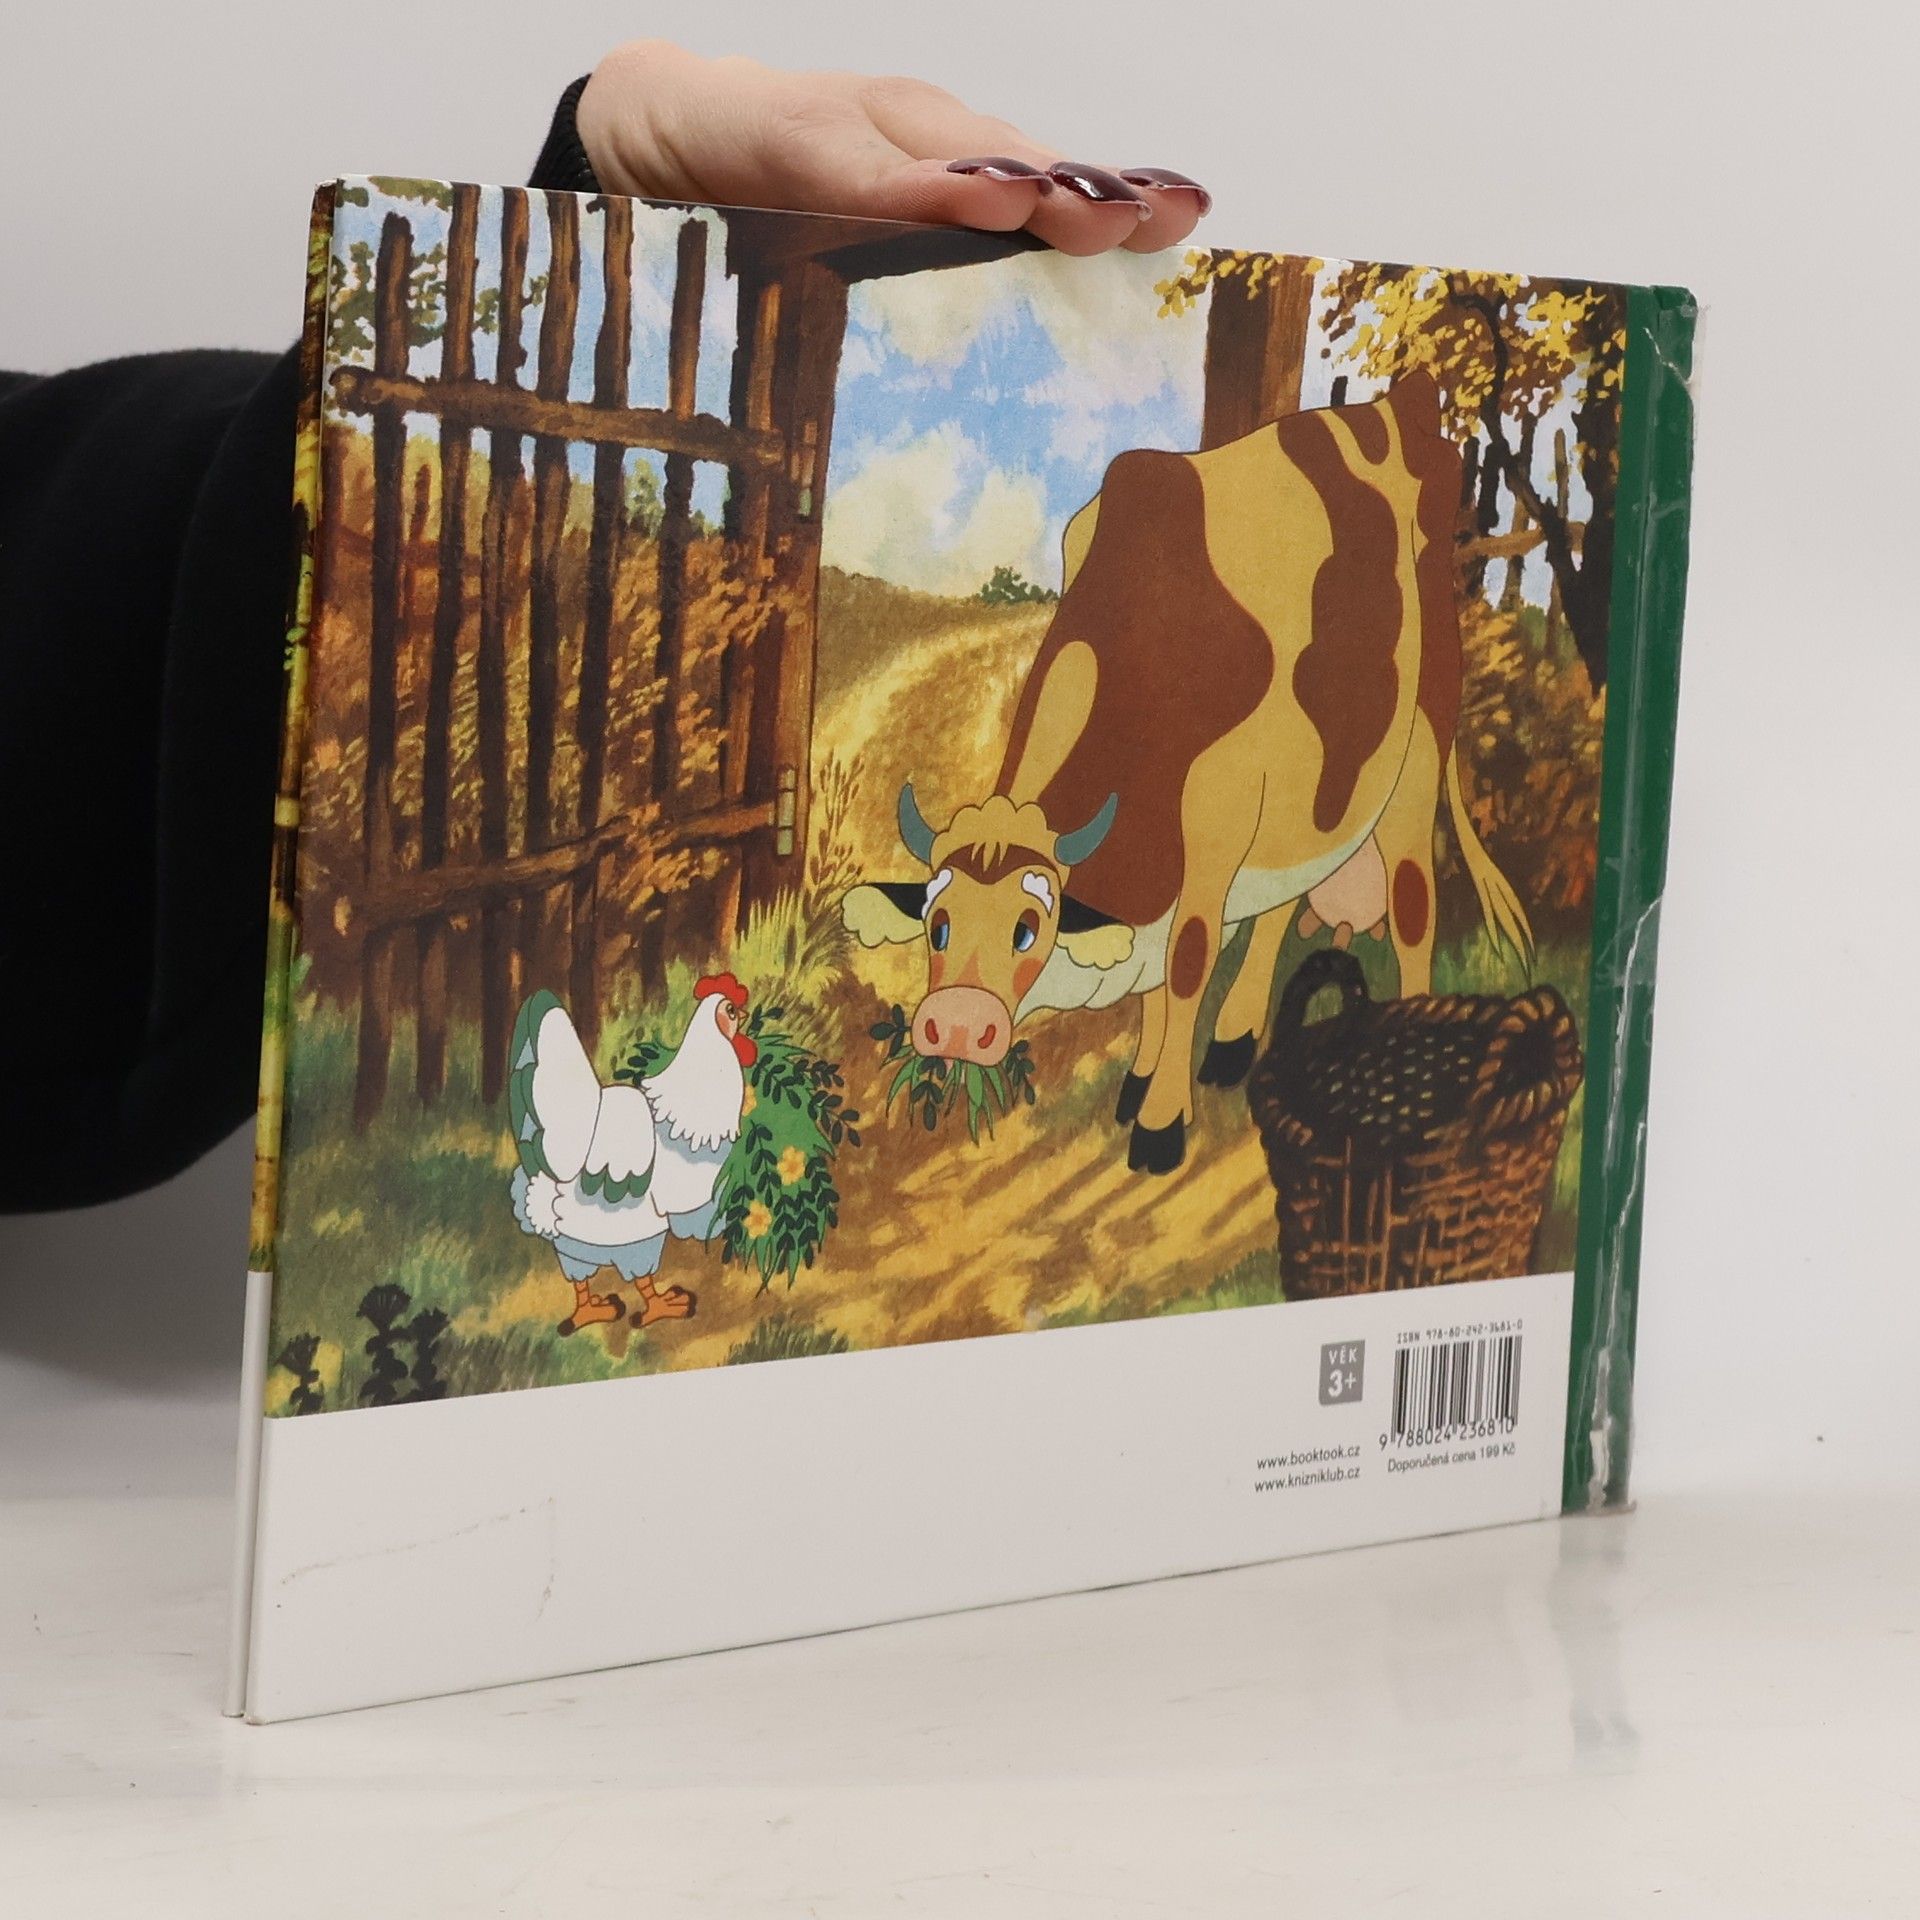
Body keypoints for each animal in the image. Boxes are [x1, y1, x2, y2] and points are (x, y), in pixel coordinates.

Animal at [841, 373, 1532, 1175]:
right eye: (938, 925)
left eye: (1027, 928)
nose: (954, 1023)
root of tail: (1406, 403)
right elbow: (1159, 979)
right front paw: (1141, 1082)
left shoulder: (1210, 828)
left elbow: (1188, 961)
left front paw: (1160, 1121)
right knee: (1282, 897)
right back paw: (1234, 1040)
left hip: (1419, 740)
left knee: (1415, 901)